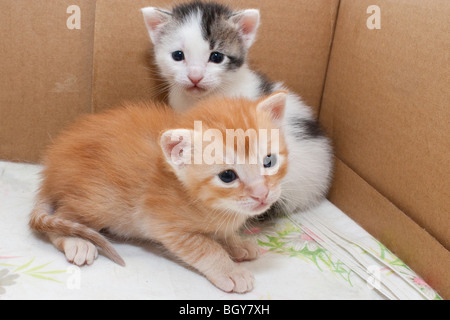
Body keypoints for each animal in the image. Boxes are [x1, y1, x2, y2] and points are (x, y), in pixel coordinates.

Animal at [29, 91, 288, 292]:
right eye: (227, 176)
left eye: (269, 161)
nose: (262, 193)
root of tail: (50, 170)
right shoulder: (163, 223)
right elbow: (206, 247)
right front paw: (229, 270)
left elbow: (222, 233)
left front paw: (236, 242)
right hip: (97, 201)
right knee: (60, 217)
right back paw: (76, 242)